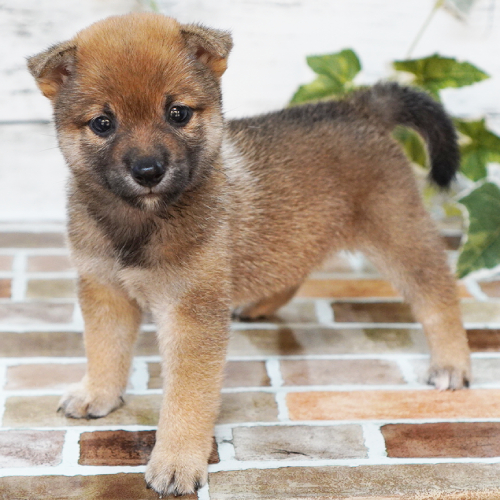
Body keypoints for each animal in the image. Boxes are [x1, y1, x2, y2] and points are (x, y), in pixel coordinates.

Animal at [27, 11, 470, 496]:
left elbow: (186, 398)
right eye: (103, 123)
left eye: (178, 113)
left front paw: (177, 461)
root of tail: (358, 106)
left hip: (400, 235)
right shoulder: (105, 291)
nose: (148, 171)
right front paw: (98, 394)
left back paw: (452, 363)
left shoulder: (191, 314)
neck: (140, 223)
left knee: (439, 298)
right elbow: (104, 350)